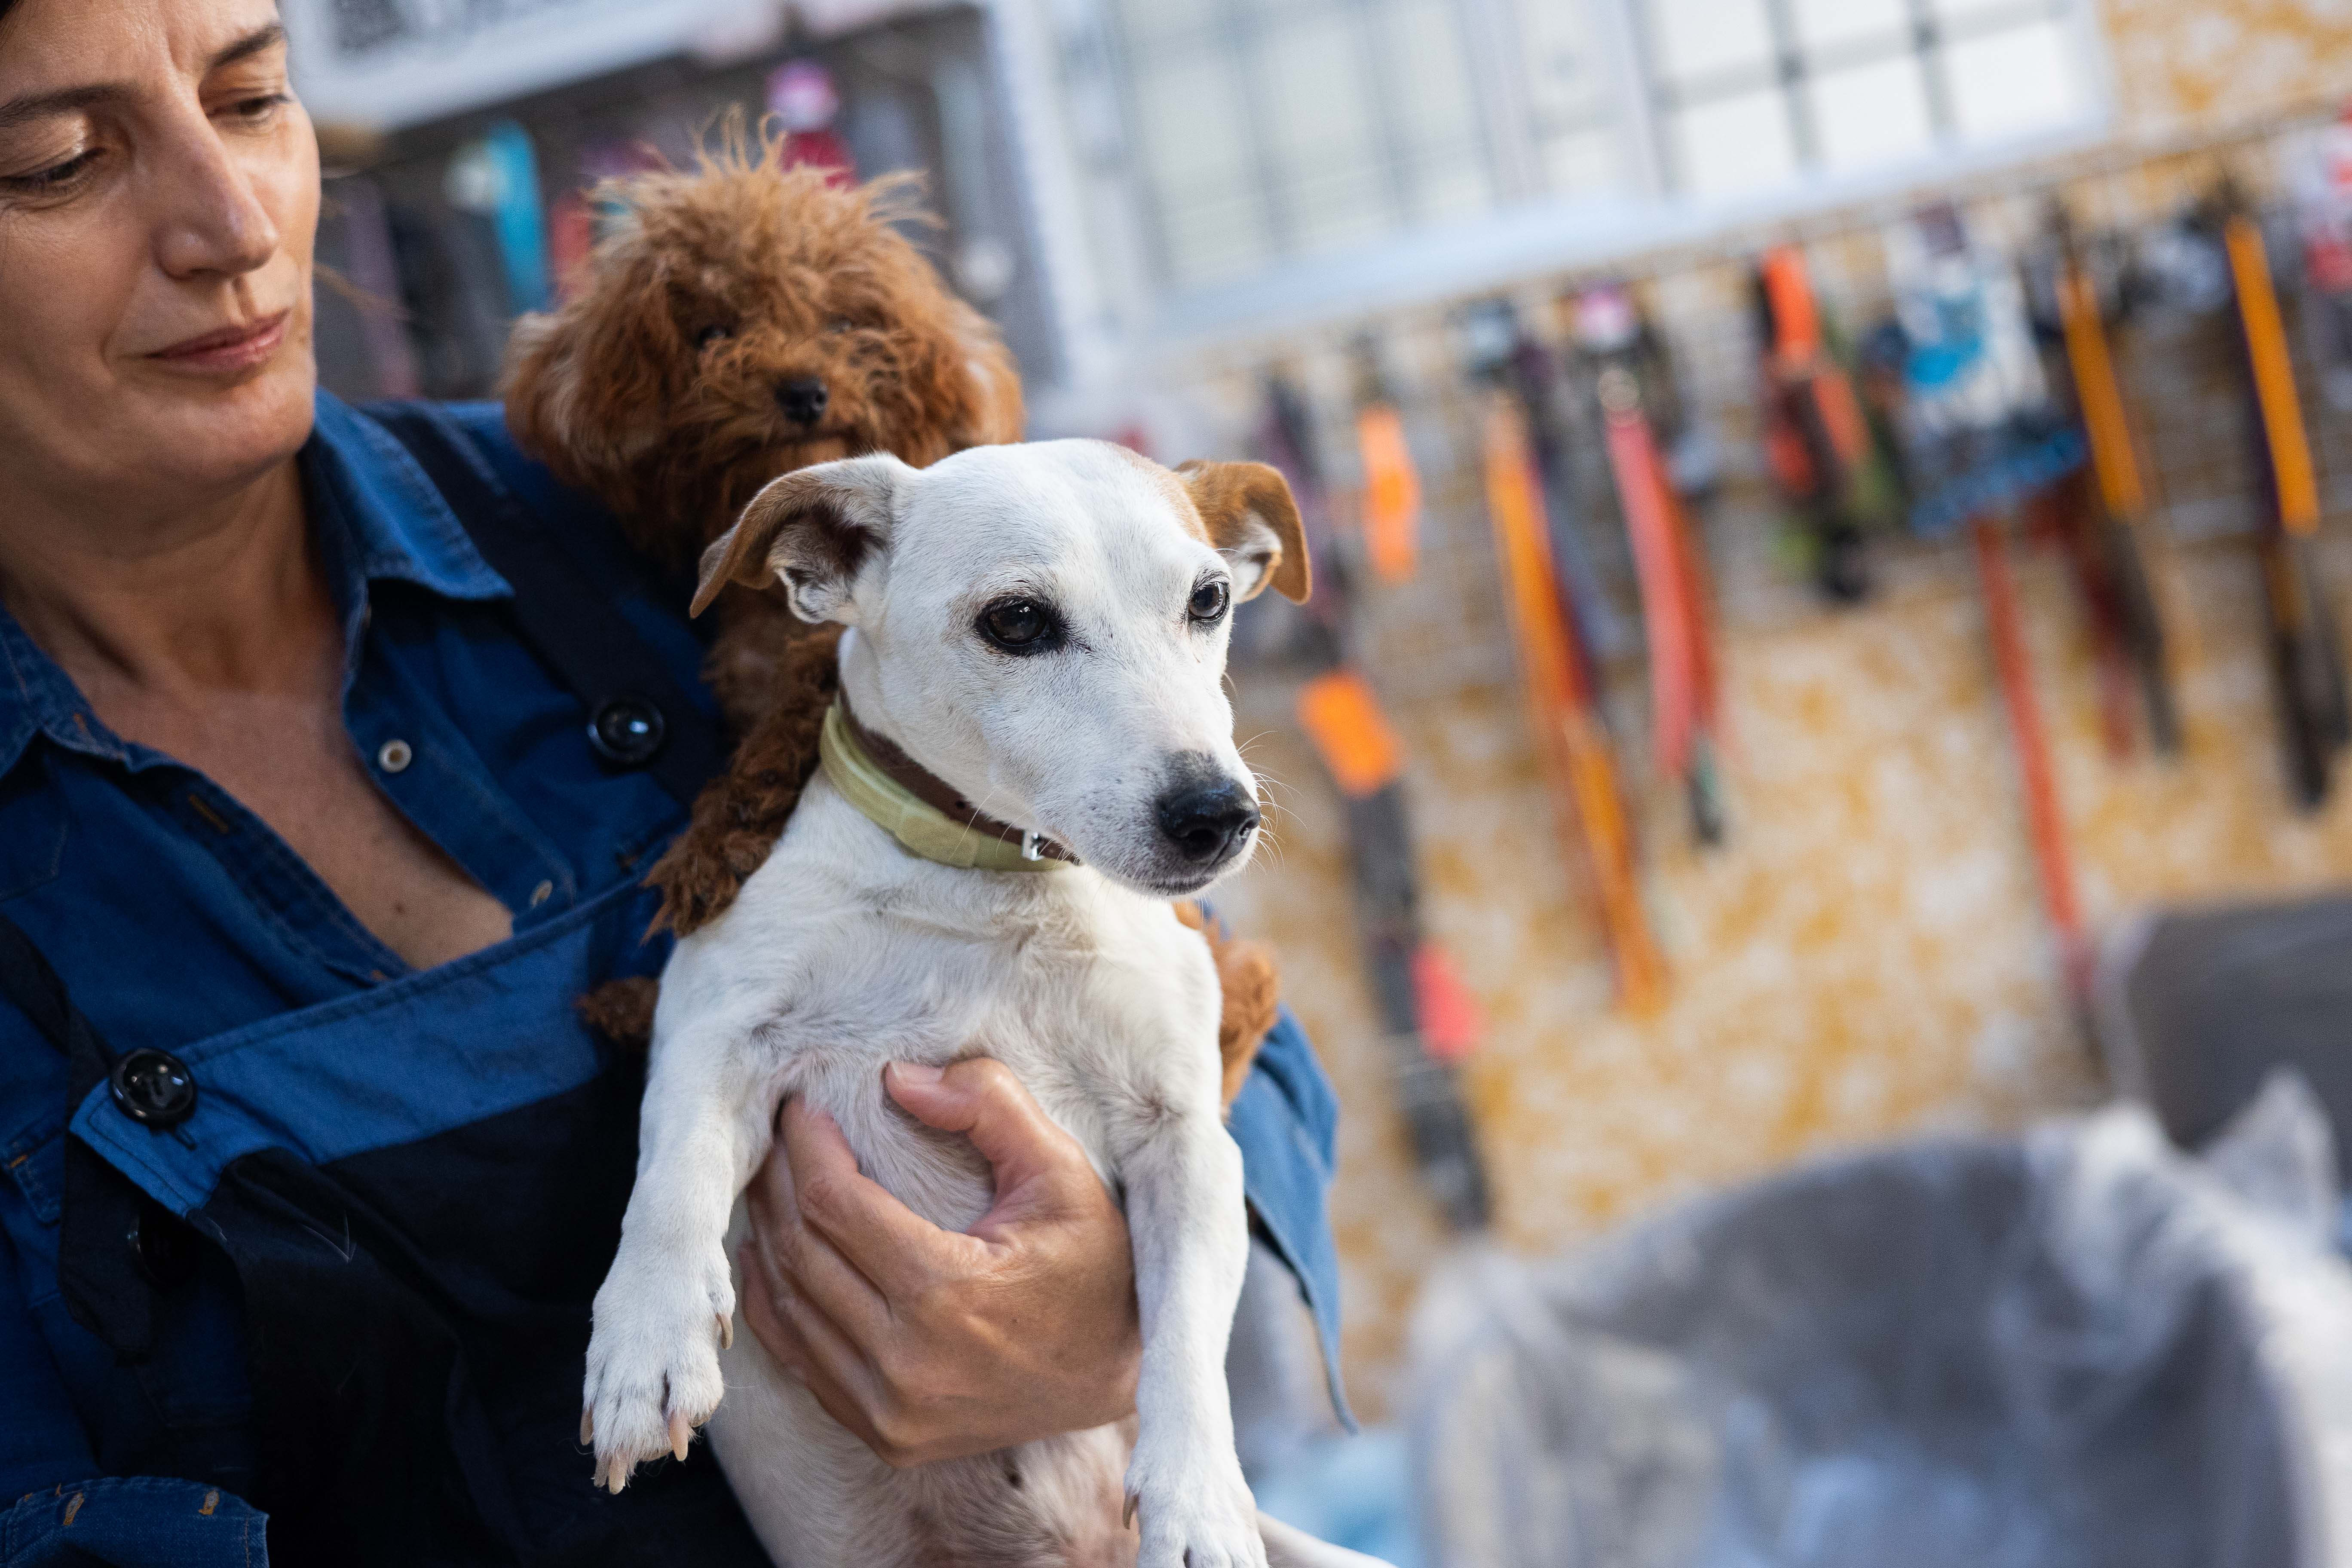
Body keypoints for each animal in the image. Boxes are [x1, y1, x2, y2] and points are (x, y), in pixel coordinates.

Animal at [579, 442, 1373, 1568]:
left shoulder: (1187, 1141)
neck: (991, 886)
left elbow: (1186, 1334)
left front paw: (1198, 1503)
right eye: (1018, 622)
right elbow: (672, 1180)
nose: (1218, 814)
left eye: (1210, 599)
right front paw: (647, 1344)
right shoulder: (710, 1031)